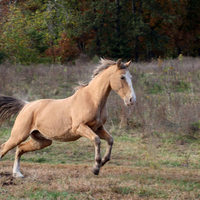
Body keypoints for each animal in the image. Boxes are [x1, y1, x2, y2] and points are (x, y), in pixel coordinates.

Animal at [0, 58, 136, 177]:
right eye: (122, 77)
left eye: (131, 77)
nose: (131, 100)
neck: (92, 100)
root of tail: (26, 105)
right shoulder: (80, 128)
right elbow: (97, 140)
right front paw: (96, 167)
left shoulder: (98, 128)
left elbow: (110, 140)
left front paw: (101, 164)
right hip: (18, 135)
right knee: (4, 148)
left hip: (41, 141)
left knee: (20, 148)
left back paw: (17, 174)